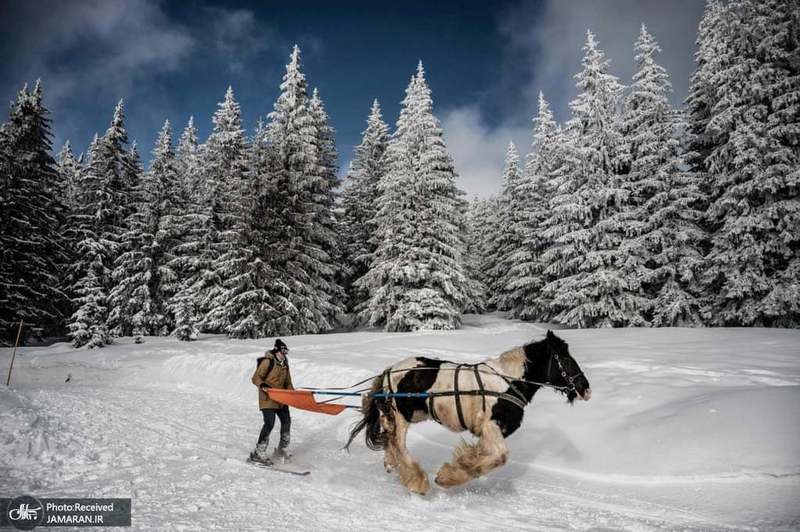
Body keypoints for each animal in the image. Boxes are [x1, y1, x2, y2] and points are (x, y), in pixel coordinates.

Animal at [346, 330, 592, 496]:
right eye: (566, 360)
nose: (586, 389)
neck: (508, 382)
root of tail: (391, 370)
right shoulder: (491, 426)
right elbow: (500, 457)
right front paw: (448, 477)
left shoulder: (488, 432)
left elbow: (484, 457)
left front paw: (462, 464)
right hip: (402, 415)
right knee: (398, 444)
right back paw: (417, 481)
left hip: (404, 414)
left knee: (390, 439)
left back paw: (392, 464)